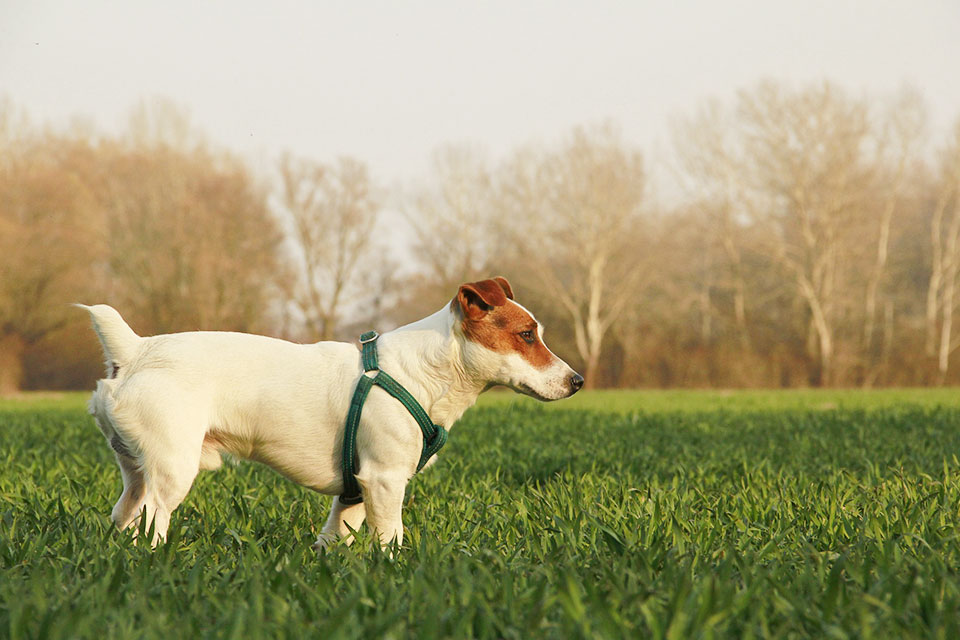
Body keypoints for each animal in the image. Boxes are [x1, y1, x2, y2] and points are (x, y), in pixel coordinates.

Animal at [79, 276, 584, 552]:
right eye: (526, 335)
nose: (577, 381)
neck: (423, 371)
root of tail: (137, 349)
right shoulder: (384, 480)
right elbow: (391, 539)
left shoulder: (353, 492)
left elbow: (332, 538)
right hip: (172, 471)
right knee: (152, 521)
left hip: (136, 470)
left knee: (124, 516)